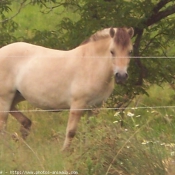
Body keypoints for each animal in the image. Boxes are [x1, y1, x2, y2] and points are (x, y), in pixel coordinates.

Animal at [0, 27, 134, 150]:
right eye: (112, 51)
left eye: (130, 52)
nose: (121, 76)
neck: (91, 64)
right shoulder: (77, 105)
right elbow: (71, 132)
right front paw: (65, 152)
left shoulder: (95, 107)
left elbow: (90, 131)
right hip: (5, 97)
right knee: (3, 125)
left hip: (17, 95)